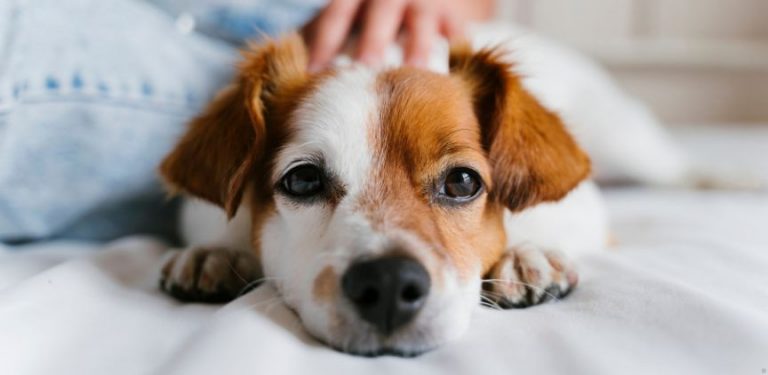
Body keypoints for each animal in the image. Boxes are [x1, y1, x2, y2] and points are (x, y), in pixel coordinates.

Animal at [153, 25, 700, 356]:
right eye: (303, 179)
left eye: (462, 180)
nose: (389, 284)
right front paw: (216, 252)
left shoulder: (583, 205)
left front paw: (528, 253)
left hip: (632, 147)